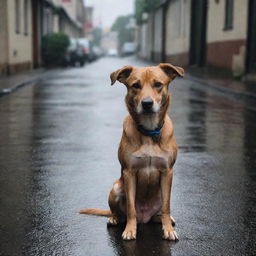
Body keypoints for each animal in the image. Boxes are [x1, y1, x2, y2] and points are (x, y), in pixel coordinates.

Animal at [79, 63, 184, 241]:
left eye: (158, 84)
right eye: (135, 85)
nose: (147, 103)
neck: (148, 132)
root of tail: (145, 218)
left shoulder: (167, 172)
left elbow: (166, 206)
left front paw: (168, 230)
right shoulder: (129, 172)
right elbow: (131, 208)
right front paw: (129, 230)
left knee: (160, 211)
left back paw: (165, 219)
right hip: (116, 188)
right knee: (120, 212)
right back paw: (114, 218)